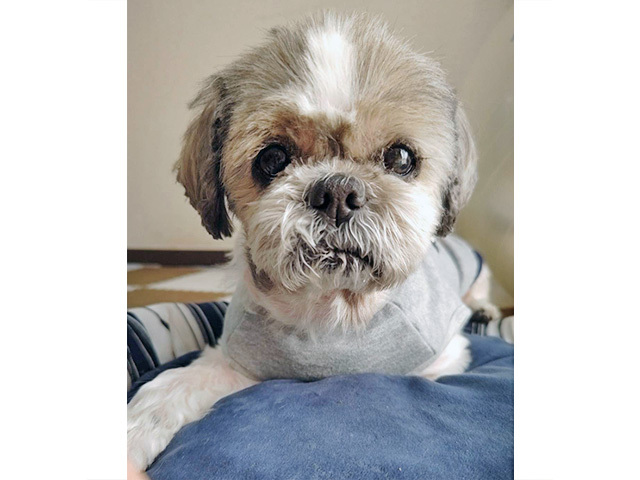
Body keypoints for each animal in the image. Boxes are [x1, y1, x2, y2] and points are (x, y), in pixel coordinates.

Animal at [127, 11, 501, 471]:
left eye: (400, 158)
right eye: (271, 158)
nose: (337, 191)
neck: (332, 313)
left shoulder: (445, 354)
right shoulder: (235, 360)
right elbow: (171, 386)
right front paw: (134, 429)